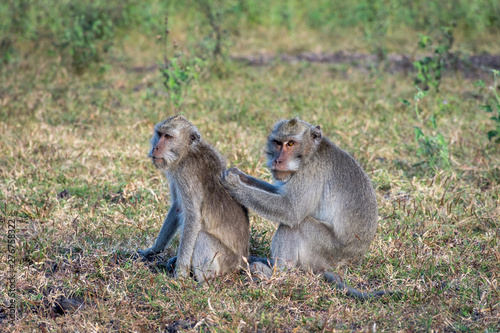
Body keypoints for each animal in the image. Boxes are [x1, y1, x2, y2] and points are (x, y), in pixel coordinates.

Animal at [138, 115, 249, 280]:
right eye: (159, 134)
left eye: (168, 136)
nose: (155, 148)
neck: (187, 152)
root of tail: (242, 264)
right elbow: (177, 208)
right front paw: (153, 250)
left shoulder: (185, 173)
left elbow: (193, 217)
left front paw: (180, 274)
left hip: (227, 261)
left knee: (202, 237)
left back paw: (203, 282)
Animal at [221, 116, 396, 298]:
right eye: (277, 143)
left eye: (290, 144)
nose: (277, 160)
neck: (311, 152)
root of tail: (352, 262)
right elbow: (280, 193)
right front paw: (241, 176)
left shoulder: (310, 171)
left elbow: (291, 211)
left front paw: (235, 185)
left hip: (327, 253)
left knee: (298, 225)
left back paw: (277, 273)